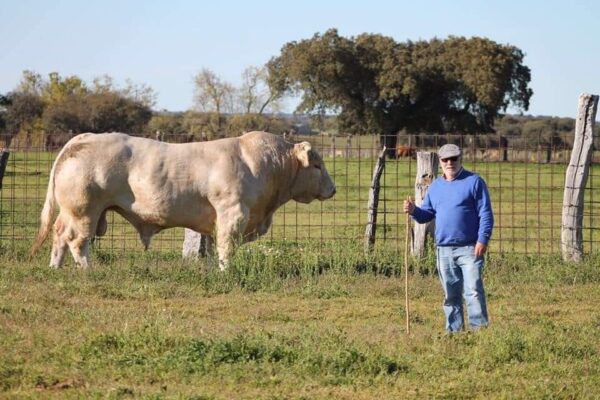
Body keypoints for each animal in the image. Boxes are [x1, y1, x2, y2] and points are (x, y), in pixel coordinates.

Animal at [30, 131, 336, 268]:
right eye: (317, 165)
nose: (333, 190)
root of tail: (81, 138)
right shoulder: (233, 214)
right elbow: (226, 247)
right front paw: (226, 271)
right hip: (84, 212)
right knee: (76, 241)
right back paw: (87, 270)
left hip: (72, 212)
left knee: (59, 236)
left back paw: (55, 268)